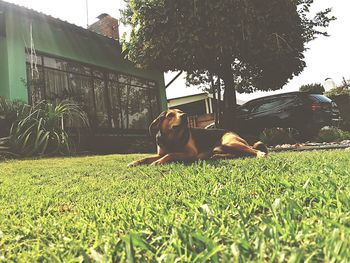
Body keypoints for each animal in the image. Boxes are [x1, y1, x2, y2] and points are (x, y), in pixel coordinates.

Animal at [129, 109, 268, 167]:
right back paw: (217, 156)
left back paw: (260, 154)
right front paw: (135, 162)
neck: (172, 137)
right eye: (170, 115)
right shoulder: (160, 153)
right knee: (238, 154)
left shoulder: (190, 153)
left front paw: (158, 162)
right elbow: (146, 157)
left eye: (180, 112)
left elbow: (170, 154)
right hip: (221, 147)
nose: (185, 115)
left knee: (252, 150)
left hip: (231, 143)